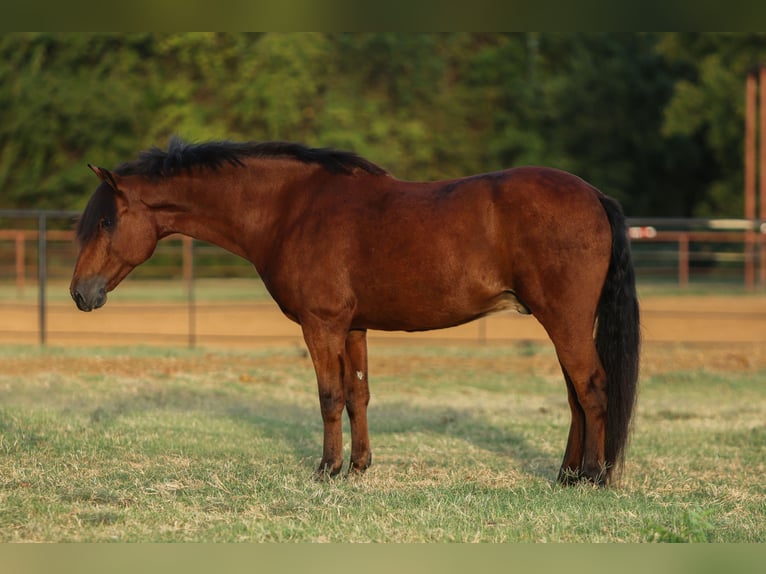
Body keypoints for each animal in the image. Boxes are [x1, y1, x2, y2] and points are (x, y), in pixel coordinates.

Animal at [70, 137, 640, 485]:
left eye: (105, 222)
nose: (79, 293)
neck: (289, 208)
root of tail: (594, 195)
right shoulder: (353, 327)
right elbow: (358, 395)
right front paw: (360, 467)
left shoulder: (321, 325)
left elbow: (329, 396)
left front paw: (326, 469)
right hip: (562, 322)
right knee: (576, 394)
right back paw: (566, 475)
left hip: (564, 319)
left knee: (592, 387)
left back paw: (592, 477)